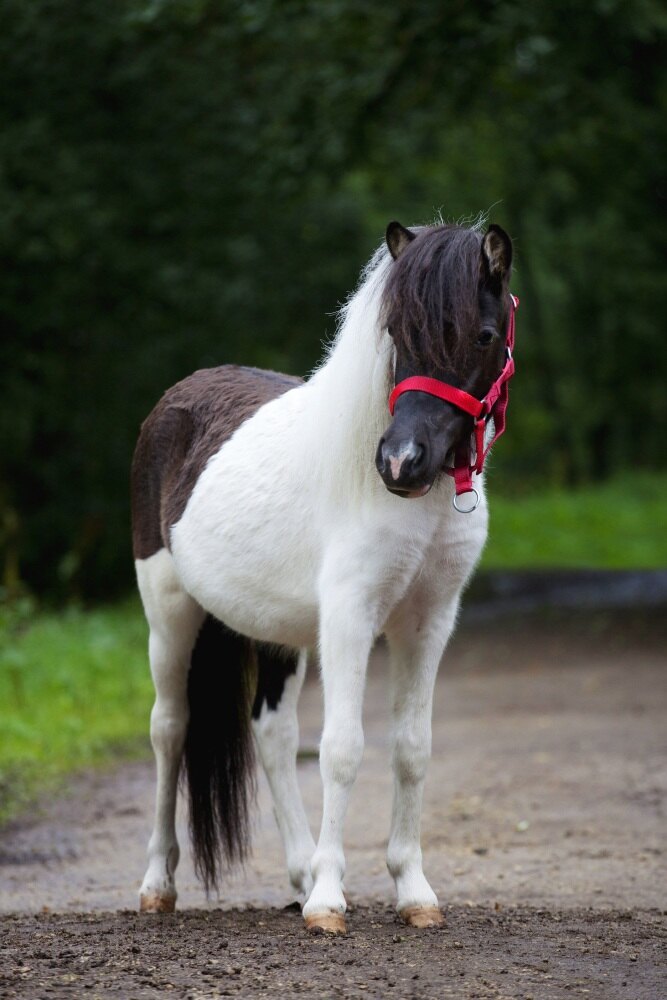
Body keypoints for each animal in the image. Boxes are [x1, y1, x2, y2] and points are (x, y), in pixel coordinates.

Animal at [132, 219, 516, 936]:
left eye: (482, 336)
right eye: (396, 332)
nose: (400, 462)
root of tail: (175, 401)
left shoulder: (428, 623)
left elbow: (411, 748)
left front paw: (412, 891)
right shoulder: (349, 618)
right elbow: (342, 748)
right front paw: (329, 903)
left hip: (274, 631)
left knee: (272, 734)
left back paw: (301, 871)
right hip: (168, 614)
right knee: (169, 728)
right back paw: (157, 884)